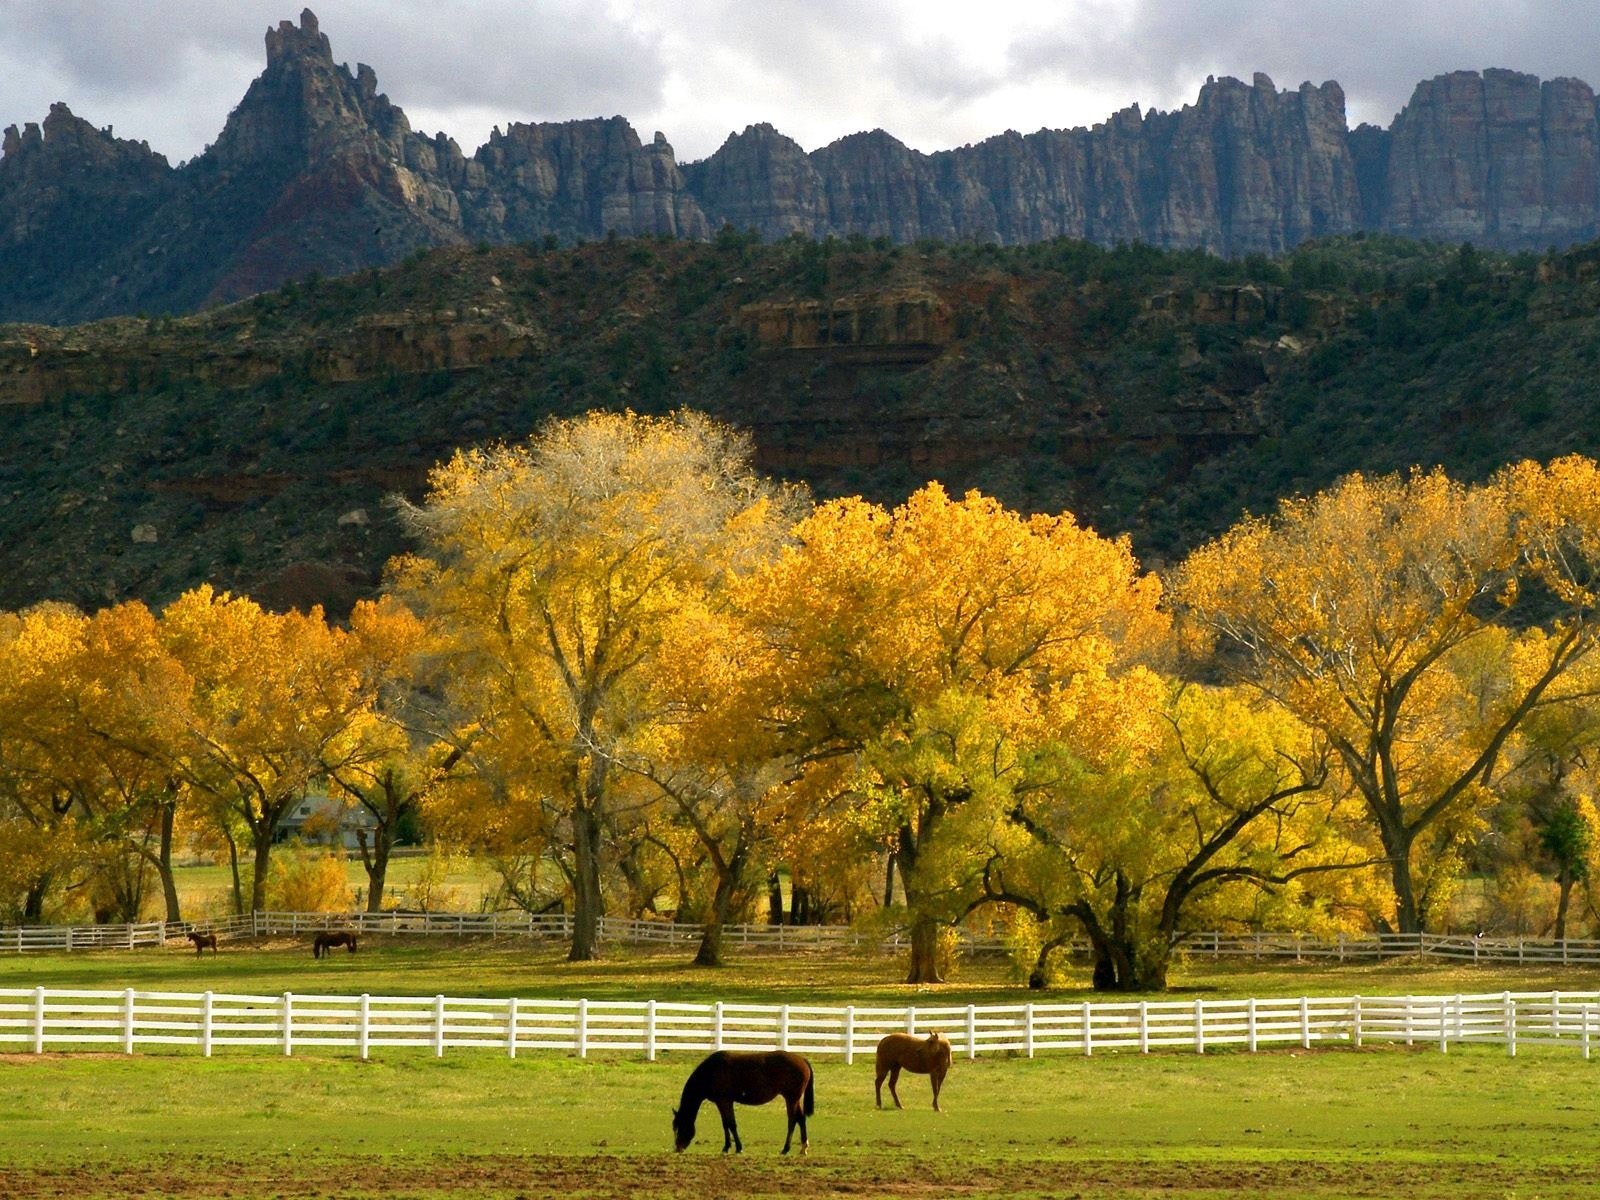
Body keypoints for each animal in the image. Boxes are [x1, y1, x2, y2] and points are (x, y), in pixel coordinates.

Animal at [668, 1049, 812, 1158]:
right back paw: (803, 1148)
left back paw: (785, 1149)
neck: (711, 1071)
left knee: (792, 1120)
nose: (677, 1148)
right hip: (795, 1099)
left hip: (791, 1099)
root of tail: (802, 1059)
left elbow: (731, 1124)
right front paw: (726, 1147)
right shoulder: (721, 1102)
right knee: (801, 1118)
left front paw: (738, 1148)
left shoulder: (725, 1101)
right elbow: (725, 1124)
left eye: (680, 1126)